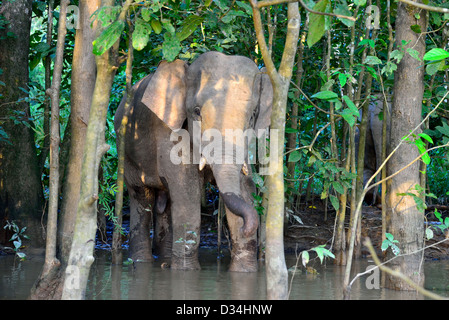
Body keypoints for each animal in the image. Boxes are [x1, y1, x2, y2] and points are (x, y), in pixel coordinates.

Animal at [114, 51, 272, 272]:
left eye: (253, 116)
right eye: (197, 112)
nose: (246, 228)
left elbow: (244, 188)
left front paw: (245, 272)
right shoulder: (170, 134)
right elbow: (187, 196)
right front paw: (185, 272)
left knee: (165, 205)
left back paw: (164, 260)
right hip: (126, 152)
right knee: (141, 198)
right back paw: (141, 263)